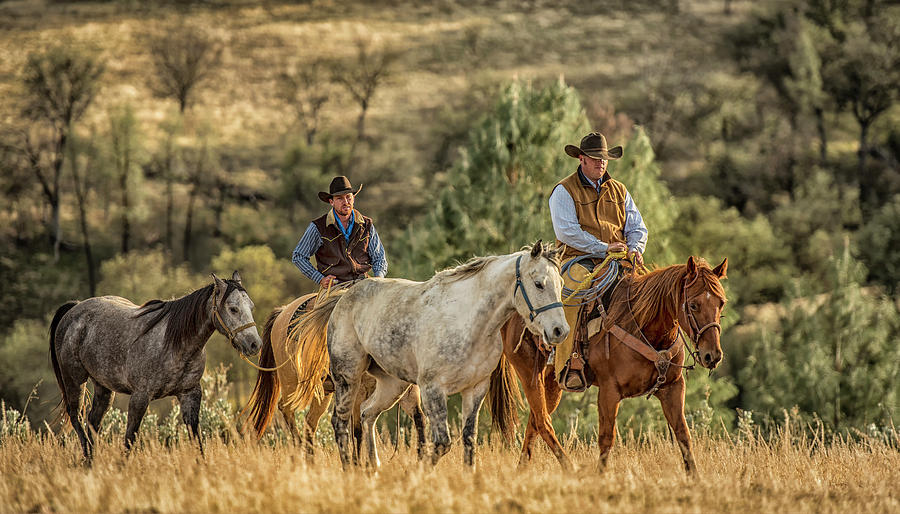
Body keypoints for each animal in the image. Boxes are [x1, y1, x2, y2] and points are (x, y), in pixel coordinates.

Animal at [48, 270, 260, 462]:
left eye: (251, 306)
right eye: (233, 308)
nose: (255, 344)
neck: (175, 343)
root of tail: (74, 309)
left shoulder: (190, 394)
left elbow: (196, 440)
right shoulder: (140, 397)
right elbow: (130, 439)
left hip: (104, 387)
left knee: (93, 422)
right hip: (74, 380)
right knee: (76, 418)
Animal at [288, 239, 568, 464]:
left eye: (560, 283)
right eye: (539, 284)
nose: (560, 331)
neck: (469, 322)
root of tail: (343, 297)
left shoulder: (475, 390)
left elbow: (469, 442)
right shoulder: (433, 389)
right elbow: (442, 443)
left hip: (394, 384)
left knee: (367, 414)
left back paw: (374, 469)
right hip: (347, 378)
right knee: (341, 423)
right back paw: (350, 470)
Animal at [488, 254, 728, 470]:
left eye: (721, 303)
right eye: (694, 305)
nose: (712, 355)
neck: (642, 326)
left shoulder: (673, 387)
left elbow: (683, 436)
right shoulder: (609, 391)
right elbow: (606, 439)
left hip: (552, 380)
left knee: (535, 421)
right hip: (528, 372)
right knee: (542, 421)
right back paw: (569, 468)